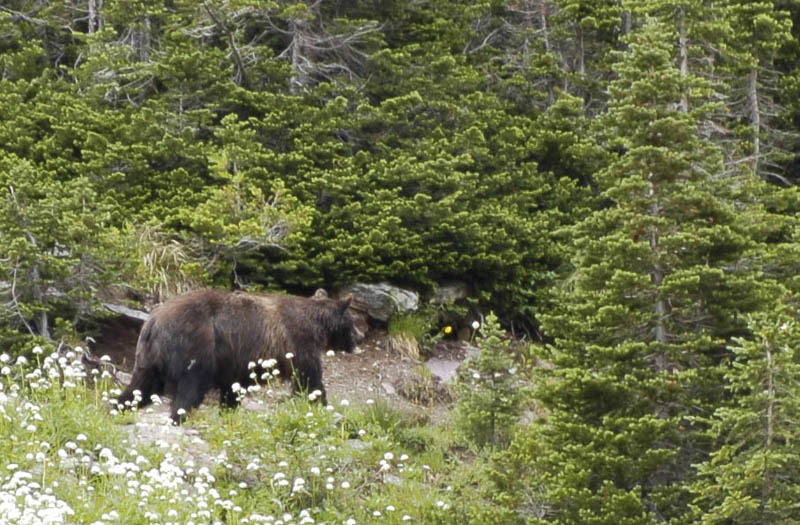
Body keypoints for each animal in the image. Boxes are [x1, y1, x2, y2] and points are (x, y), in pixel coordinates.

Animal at [117, 289, 364, 424]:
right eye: (352, 322)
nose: (361, 337)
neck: (316, 327)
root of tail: (154, 321)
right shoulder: (297, 345)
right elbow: (310, 380)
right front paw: (322, 405)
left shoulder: (237, 362)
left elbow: (233, 389)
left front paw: (229, 410)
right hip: (196, 345)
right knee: (191, 387)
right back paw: (178, 416)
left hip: (148, 358)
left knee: (139, 387)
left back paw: (118, 407)